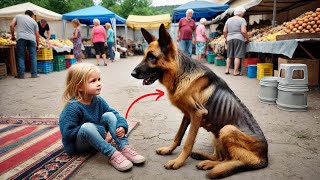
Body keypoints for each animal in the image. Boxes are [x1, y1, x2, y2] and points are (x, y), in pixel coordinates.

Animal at [130, 24, 268, 179]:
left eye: (151, 56)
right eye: (144, 55)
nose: (132, 74)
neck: (180, 74)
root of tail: (264, 158)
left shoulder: (197, 114)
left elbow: (188, 142)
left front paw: (178, 162)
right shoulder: (187, 115)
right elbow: (178, 136)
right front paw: (168, 150)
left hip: (227, 129)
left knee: (233, 160)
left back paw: (208, 164)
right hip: (217, 134)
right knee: (222, 157)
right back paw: (204, 159)